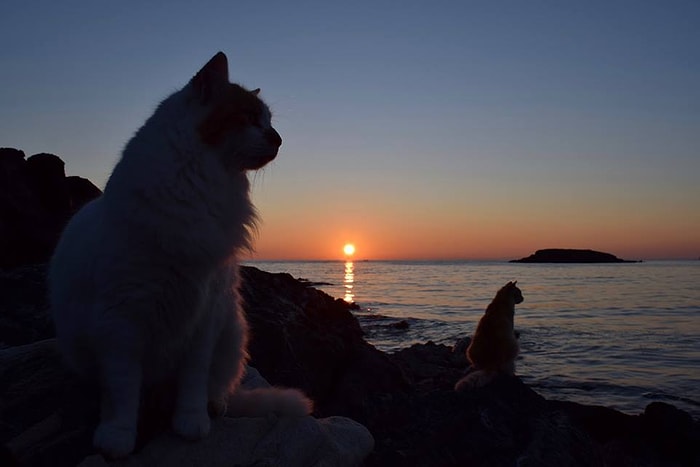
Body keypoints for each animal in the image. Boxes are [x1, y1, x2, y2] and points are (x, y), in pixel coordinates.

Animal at [49, 53, 312, 458]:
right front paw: (117, 436)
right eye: (250, 118)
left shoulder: (205, 314)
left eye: (269, 121)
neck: (202, 182)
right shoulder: (121, 320)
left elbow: (192, 382)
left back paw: (213, 406)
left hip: (231, 331)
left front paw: (191, 423)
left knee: (217, 386)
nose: (278, 139)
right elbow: (122, 390)